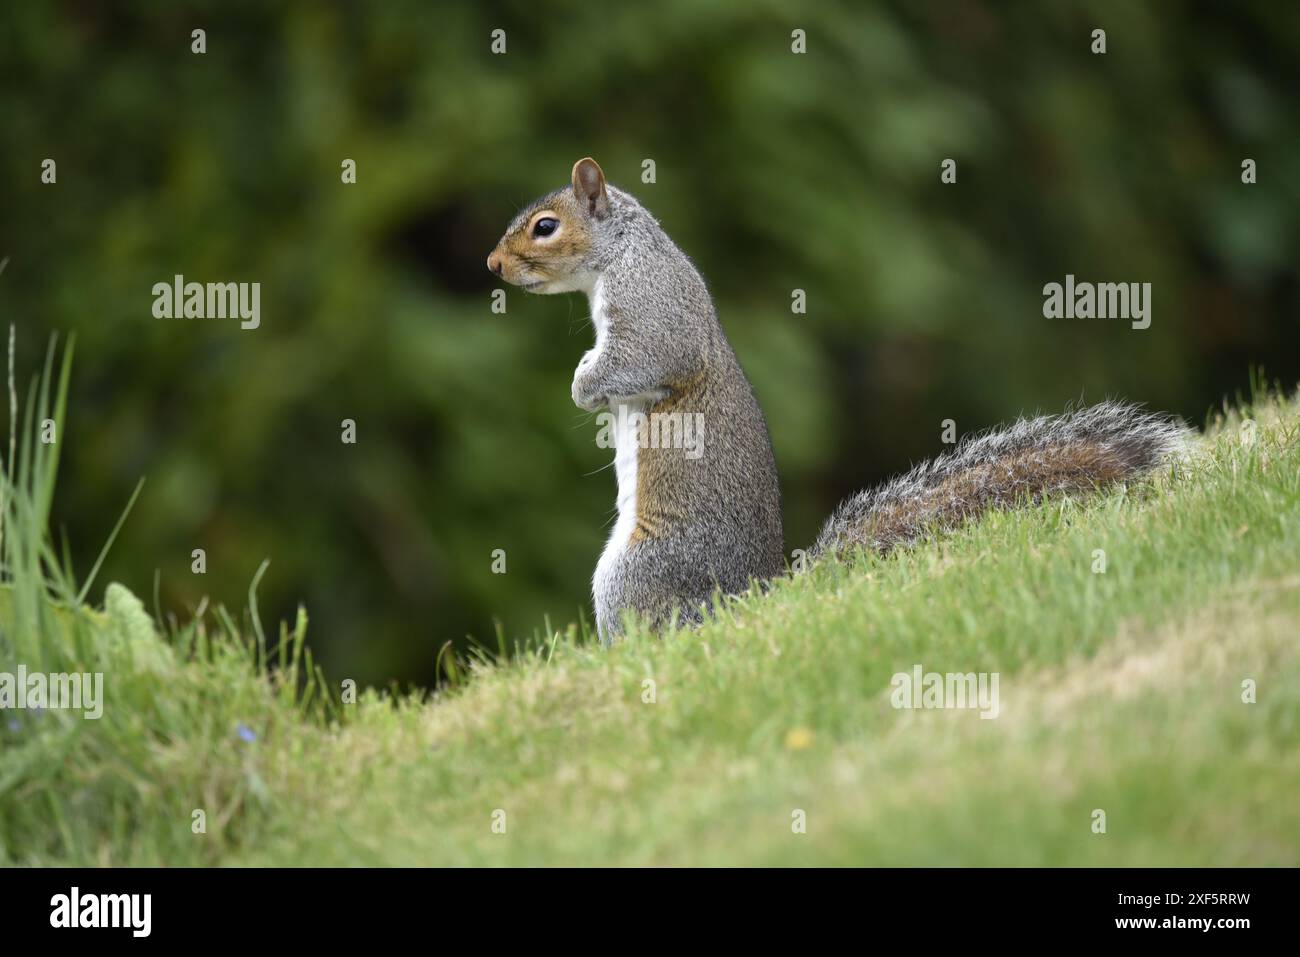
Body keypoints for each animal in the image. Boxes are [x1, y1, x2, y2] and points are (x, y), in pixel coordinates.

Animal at [486, 158, 1190, 642]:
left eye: (546, 227)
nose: (492, 265)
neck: (623, 249)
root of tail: (751, 597)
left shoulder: (651, 310)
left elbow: (645, 359)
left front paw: (583, 385)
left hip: (637, 571)